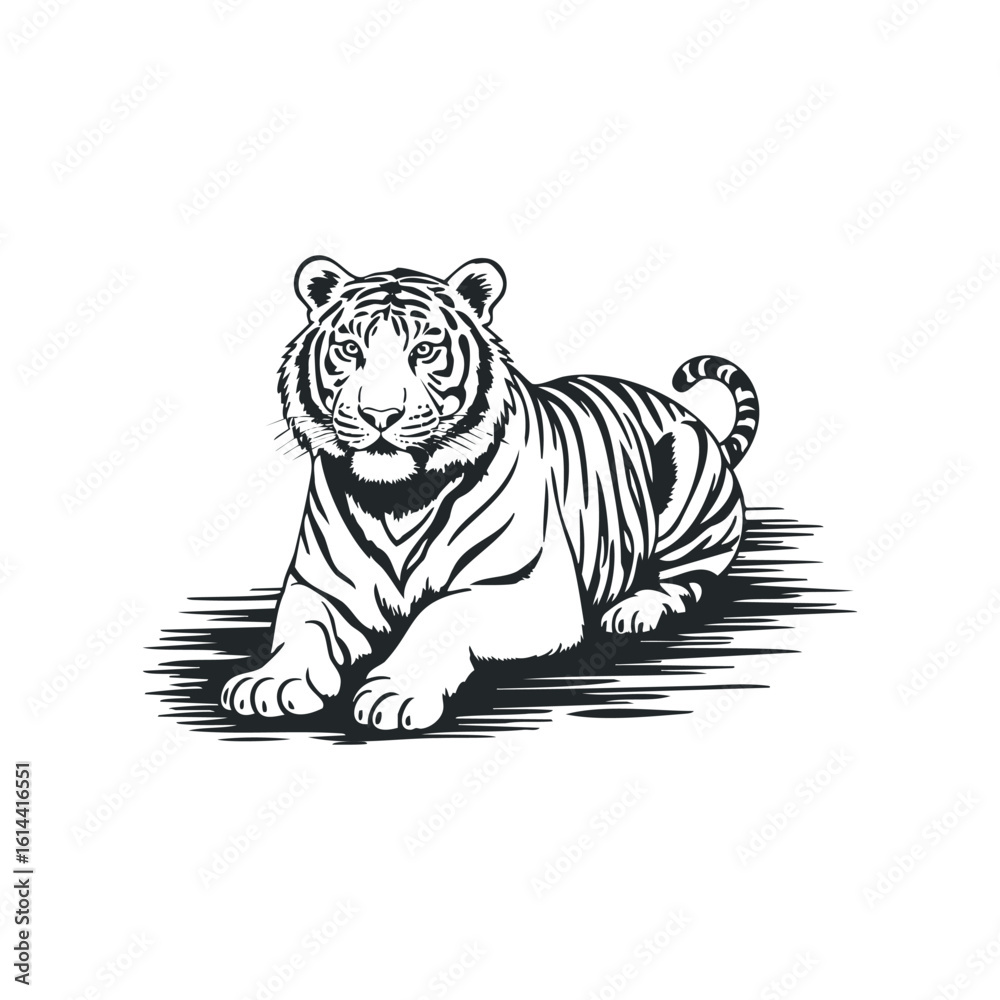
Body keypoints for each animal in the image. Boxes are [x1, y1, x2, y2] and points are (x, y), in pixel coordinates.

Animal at [220, 256, 760, 730]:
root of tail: (683, 411)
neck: (396, 501)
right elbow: (301, 633)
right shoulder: (319, 588)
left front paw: (396, 693)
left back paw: (635, 609)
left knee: (688, 577)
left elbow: (442, 614)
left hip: (687, 467)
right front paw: (270, 682)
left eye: (424, 351)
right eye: (352, 350)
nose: (380, 415)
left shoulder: (531, 589)